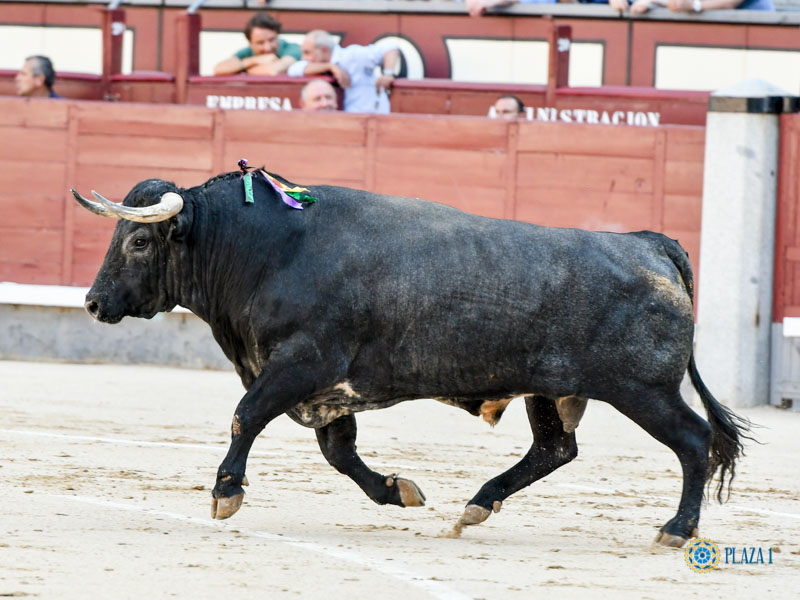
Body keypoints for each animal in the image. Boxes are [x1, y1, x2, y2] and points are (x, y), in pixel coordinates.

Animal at [72, 171, 752, 548]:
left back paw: (676, 530)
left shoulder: (301, 365)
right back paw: (476, 506)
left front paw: (225, 493)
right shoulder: (326, 389)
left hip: (644, 390)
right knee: (555, 449)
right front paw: (398, 491)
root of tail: (649, 244)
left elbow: (246, 415)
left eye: (138, 240)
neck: (266, 250)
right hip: (552, 389)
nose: (94, 302)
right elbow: (340, 453)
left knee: (694, 441)